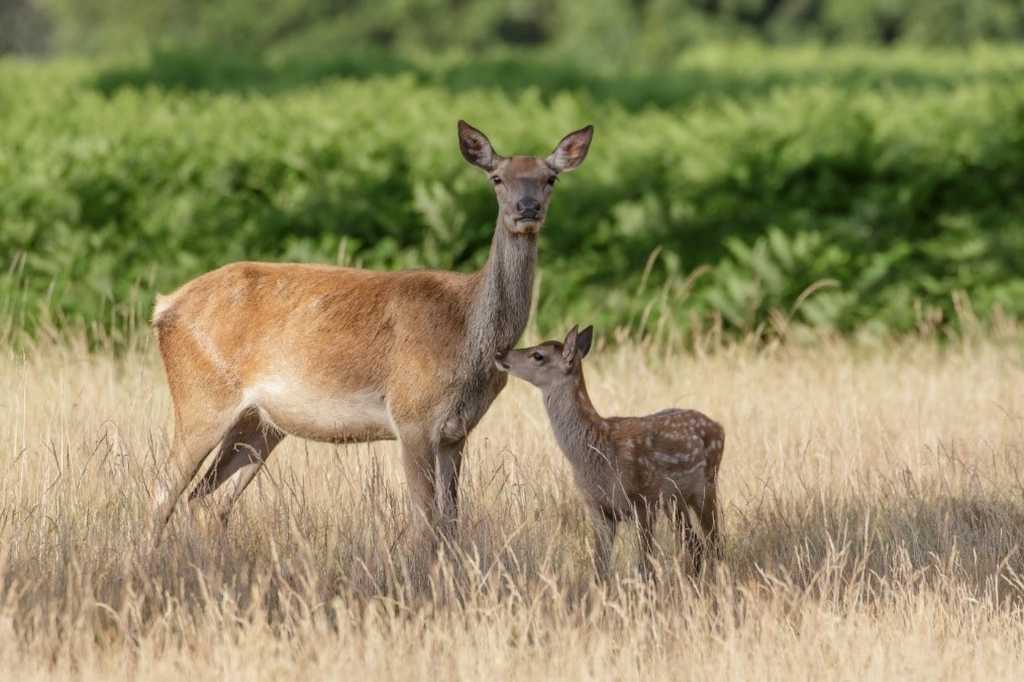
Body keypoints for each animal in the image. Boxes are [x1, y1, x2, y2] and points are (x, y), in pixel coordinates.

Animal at [145, 119, 593, 548]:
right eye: (497, 177)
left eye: (550, 178)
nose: (527, 208)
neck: (468, 336)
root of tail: (163, 307)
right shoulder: (411, 415)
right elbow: (425, 521)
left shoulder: (457, 431)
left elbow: (451, 521)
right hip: (202, 399)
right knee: (163, 492)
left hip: (259, 423)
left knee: (206, 499)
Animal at [493, 327, 720, 577]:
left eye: (538, 355)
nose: (500, 353)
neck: (596, 453)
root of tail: (719, 427)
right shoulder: (597, 507)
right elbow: (600, 566)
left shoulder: (642, 500)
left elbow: (645, 567)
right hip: (674, 500)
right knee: (695, 545)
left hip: (706, 485)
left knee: (714, 543)